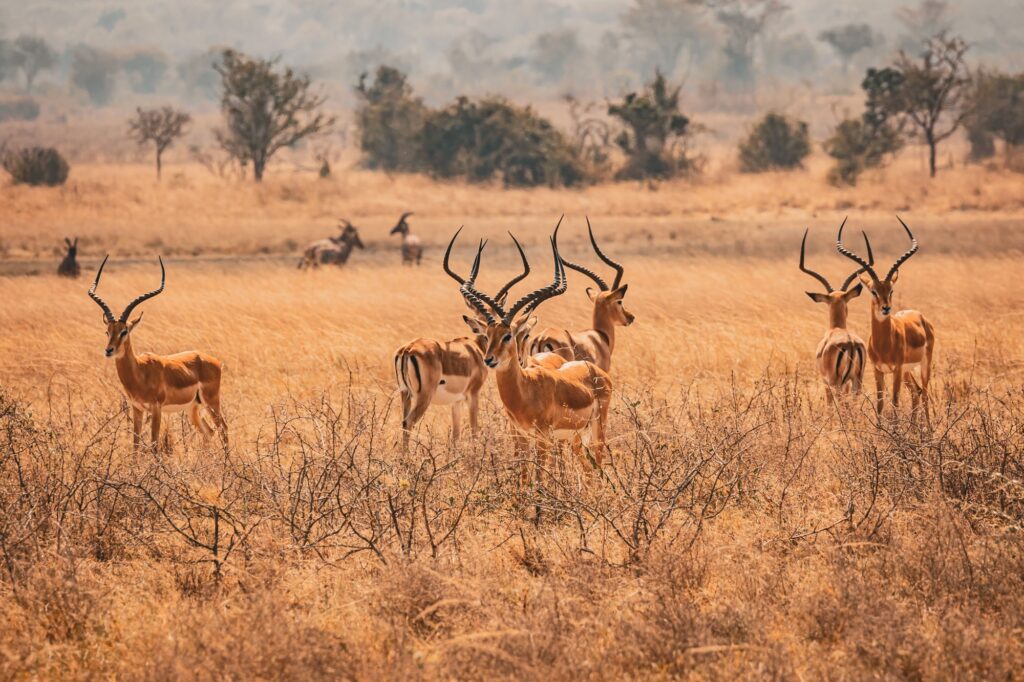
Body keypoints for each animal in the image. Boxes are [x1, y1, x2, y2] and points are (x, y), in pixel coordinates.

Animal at [87, 256, 228, 450]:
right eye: (107, 331)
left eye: (124, 331)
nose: (109, 350)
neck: (140, 372)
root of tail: (212, 360)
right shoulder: (137, 408)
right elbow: (136, 445)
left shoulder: (156, 408)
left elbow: (154, 444)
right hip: (193, 407)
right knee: (209, 432)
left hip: (211, 401)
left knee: (224, 429)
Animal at [459, 231, 613, 482]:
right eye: (487, 334)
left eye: (508, 335)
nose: (489, 360)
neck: (526, 390)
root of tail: (595, 371)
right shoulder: (521, 435)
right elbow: (523, 477)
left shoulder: (542, 437)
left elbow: (540, 480)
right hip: (574, 437)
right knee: (589, 471)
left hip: (597, 428)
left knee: (598, 466)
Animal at [837, 217, 936, 422]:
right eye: (873, 291)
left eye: (891, 290)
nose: (886, 308)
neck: (884, 344)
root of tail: (921, 317)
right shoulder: (878, 370)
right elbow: (881, 403)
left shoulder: (896, 369)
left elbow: (895, 401)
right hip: (907, 371)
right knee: (916, 392)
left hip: (923, 365)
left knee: (924, 393)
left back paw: (928, 428)